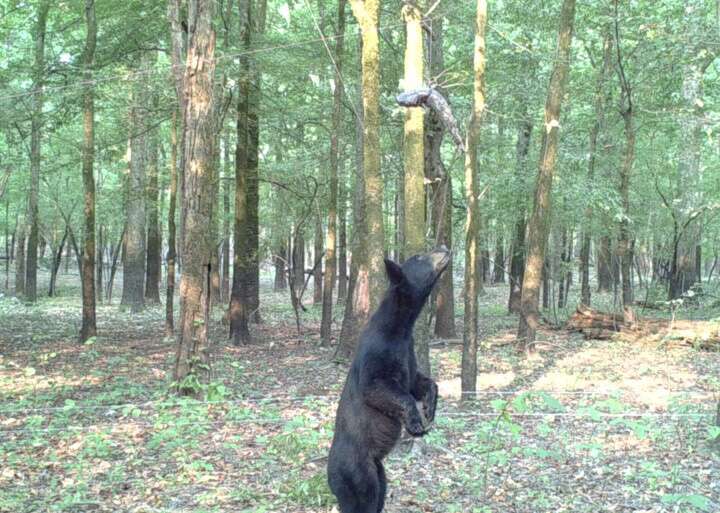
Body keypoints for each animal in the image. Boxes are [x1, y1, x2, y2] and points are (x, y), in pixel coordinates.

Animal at [327, 246, 451, 513]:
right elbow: (380, 388)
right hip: (357, 473)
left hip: (379, 469)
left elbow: (418, 382)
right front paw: (415, 424)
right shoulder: (377, 352)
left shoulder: (408, 351)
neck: (401, 326)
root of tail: (329, 473)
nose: (445, 247)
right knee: (363, 498)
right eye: (419, 257)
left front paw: (430, 409)